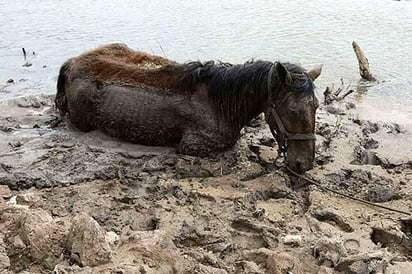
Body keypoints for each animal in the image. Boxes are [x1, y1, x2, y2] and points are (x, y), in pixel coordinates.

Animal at [54, 44, 320, 173]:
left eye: (316, 106)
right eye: (292, 110)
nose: (303, 165)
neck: (221, 101)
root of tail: (72, 62)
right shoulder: (193, 144)